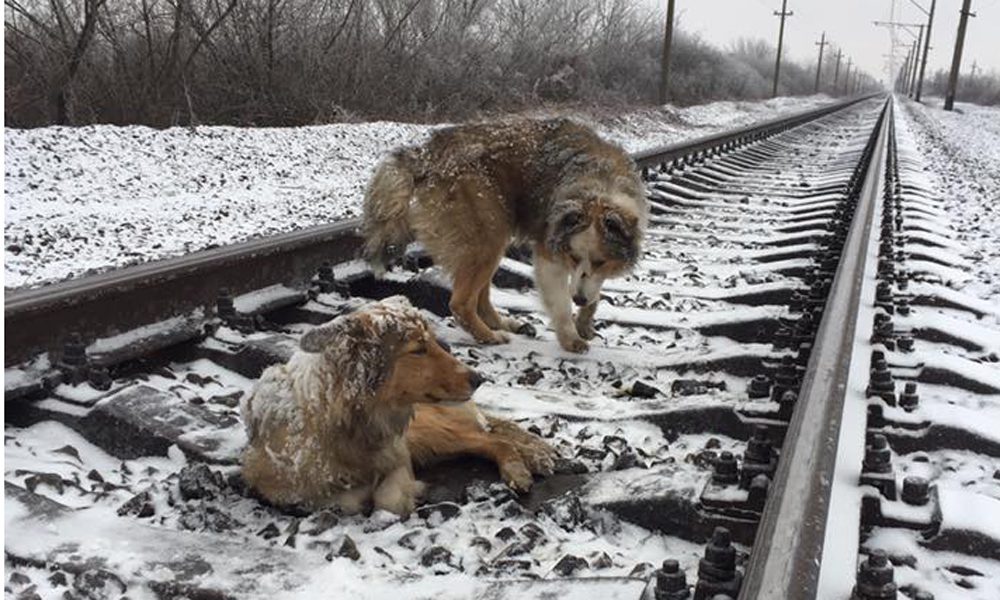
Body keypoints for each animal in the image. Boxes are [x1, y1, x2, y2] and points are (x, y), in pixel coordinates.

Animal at [241, 296, 556, 516]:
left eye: (434, 342)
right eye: (418, 349)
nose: (479, 378)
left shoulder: (399, 453)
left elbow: (387, 499)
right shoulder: (276, 486)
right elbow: (342, 499)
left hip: (430, 432)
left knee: (494, 439)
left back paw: (521, 466)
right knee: (490, 436)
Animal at [362, 117, 648, 354]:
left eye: (601, 261)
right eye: (572, 257)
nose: (578, 298)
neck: (600, 186)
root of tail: (426, 153)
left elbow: (593, 290)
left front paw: (585, 320)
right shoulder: (549, 252)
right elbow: (560, 303)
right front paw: (570, 336)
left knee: (481, 297)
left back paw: (505, 324)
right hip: (488, 233)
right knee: (461, 303)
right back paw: (489, 336)